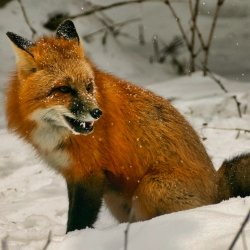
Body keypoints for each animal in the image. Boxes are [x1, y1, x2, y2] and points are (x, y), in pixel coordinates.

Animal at [5, 19, 250, 232]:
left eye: (88, 86)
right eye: (63, 89)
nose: (97, 113)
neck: (56, 135)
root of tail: (216, 184)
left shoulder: (90, 174)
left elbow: (78, 221)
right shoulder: (73, 175)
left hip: (149, 188)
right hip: (117, 198)